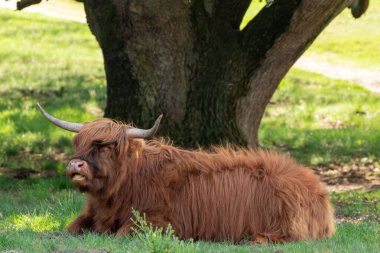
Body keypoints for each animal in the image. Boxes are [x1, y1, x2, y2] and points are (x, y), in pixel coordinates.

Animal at [37, 103, 334, 243]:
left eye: (107, 146)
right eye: (79, 143)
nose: (76, 165)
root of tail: (319, 190)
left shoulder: (161, 222)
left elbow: (122, 233)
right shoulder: (90, 216)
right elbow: (70, 228)